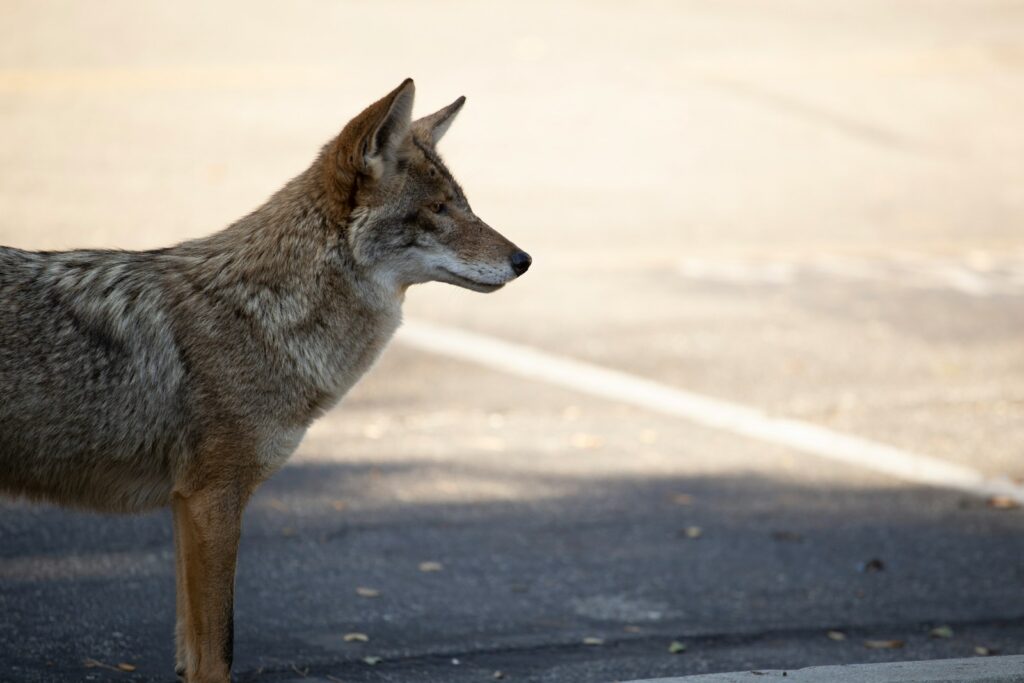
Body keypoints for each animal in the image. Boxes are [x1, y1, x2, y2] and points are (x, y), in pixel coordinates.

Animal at [0, 79, 530, 682]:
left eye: (465, 203)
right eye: (439, 209)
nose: (524, 260)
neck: (261, 314)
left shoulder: (188, 506)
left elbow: (192, 652)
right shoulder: (214, 500)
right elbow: (217, 652)